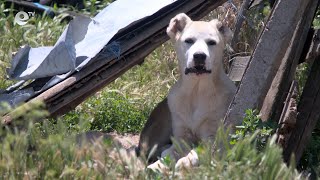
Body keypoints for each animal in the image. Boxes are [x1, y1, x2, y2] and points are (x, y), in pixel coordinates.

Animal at [139, 13, 236, 171]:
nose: (199, 56)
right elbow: (170, 153)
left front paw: (186, 162)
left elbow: (199, 150)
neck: (196, 91)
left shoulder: (214, 135)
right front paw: (156, 167)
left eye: (211, 42)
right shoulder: (181, 136)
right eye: (189, 41)